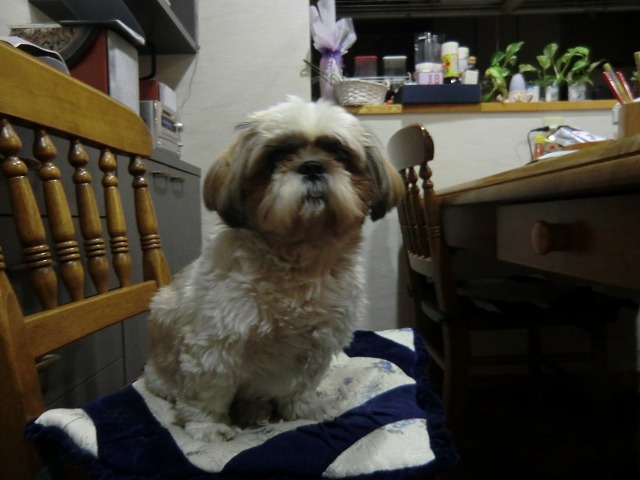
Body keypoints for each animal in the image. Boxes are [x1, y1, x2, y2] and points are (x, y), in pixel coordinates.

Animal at [143, 97, 404, 442]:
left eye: (338, 154)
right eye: (278, 156)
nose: (312, 165)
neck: (300, 259)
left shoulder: (317, 347)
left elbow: (302, 387)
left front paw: (304, 410)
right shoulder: (214, 346)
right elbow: (208, 391)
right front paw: (207, 427)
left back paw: (255, 410)